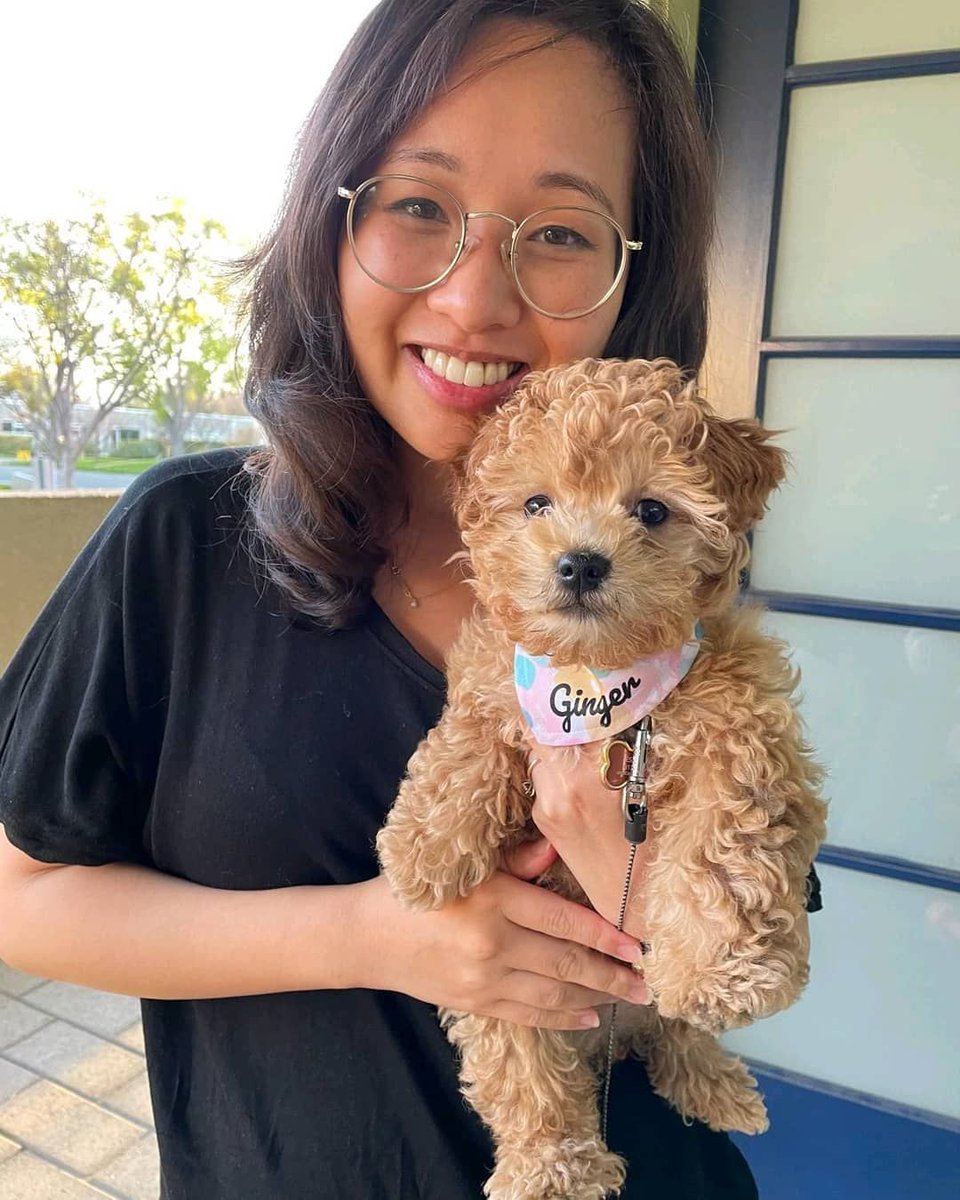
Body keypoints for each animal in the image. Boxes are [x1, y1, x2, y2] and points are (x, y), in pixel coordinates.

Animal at [379, 355, 830, 1200]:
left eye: (651, 510)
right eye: (535, 504)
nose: (581, 560)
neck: (598, 682)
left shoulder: (743, 719)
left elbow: (725, 844)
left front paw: (725, 973)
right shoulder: (495, 676)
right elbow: (468, 737)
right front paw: (423, 847)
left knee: (676, 1026)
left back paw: (714, 1081)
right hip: (508, 999)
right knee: (530, 1078)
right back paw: (555, 1170)